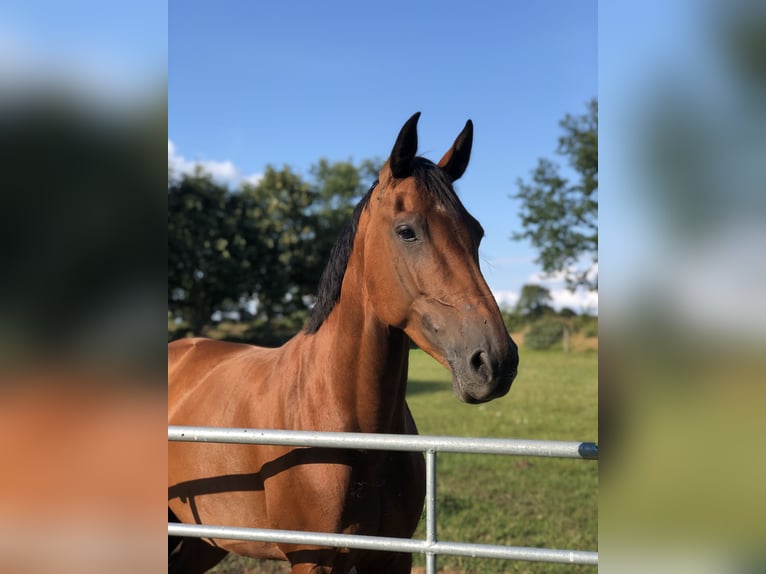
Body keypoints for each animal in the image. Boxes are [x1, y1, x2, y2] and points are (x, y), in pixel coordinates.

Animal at [168, 112, 519, 574]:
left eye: (475, 232)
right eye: (407, 231)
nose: (496, 361)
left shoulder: (392, 556)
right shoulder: (312, 560)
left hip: (200, 541)